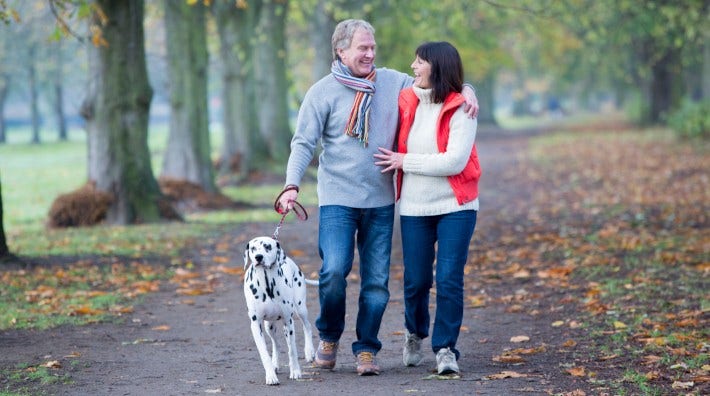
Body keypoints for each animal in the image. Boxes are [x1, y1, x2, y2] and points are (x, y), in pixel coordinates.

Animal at [245, 235, 320, 384]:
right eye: (253, 248)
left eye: (267, 246)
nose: (258, 257)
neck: (267, 283)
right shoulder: (256, 325)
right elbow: (264, 353)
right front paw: (270, 375)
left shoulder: (288, 321)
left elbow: (292, 350)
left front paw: (295, 371)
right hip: (269, 326)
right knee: (275, 343)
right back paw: (275, 364)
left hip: (300, 309)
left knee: (307, 326)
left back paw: (309, 352)